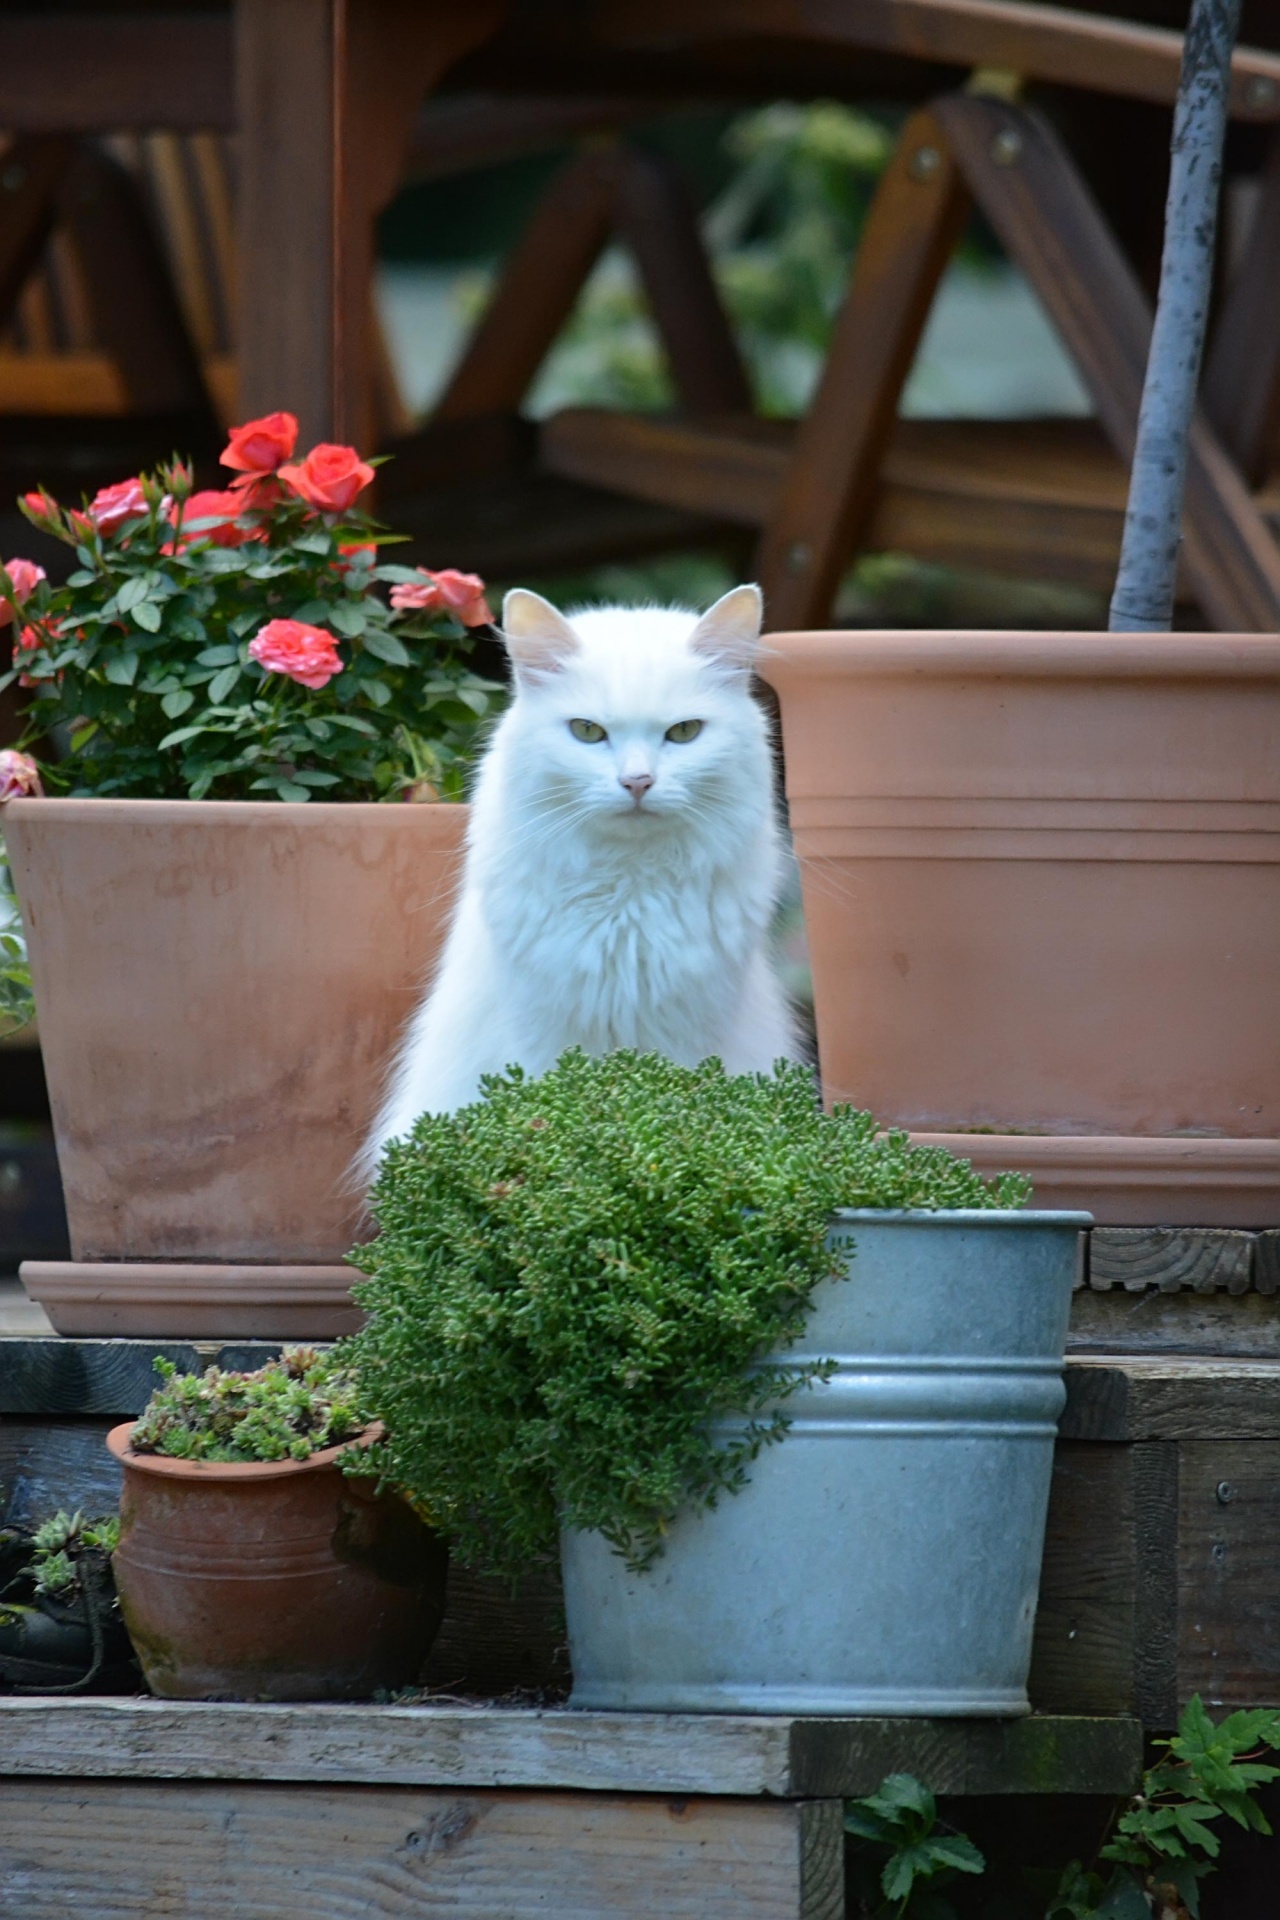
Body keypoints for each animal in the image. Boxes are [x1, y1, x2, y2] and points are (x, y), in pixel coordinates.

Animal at [360, 576, 794, 1167]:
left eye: (684, 732)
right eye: (587, 732)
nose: (637, 782)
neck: (628, 897)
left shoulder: (687, 1035)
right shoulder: (542, 1034)